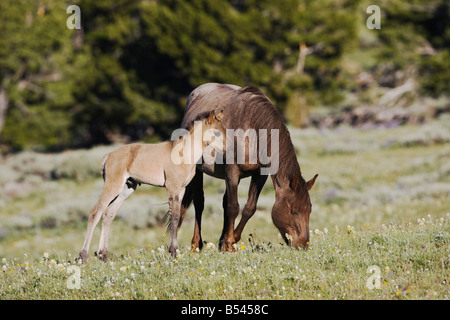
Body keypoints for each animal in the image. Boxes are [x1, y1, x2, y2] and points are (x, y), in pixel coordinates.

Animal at [79, 110, 225, 262]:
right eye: (217, 133)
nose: (228, 149)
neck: (183, 153)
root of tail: (108, 156)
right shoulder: (172, 188)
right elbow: (174, 217)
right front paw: (173, 251)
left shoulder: (181, 189)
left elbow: (178, 216)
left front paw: (174, 251)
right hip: (113, 186)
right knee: (95, 212)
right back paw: (83, 256)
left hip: (127, 188)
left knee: (108, 214)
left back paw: (104, 255)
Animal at [178, 83, 316, 252]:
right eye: (293, 211)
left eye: (309, 210)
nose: (303, 244)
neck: (252, 129)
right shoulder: (232, 172)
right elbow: (233, 207)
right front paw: (229, 243)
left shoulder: (260, 174)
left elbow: (249, 208)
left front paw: (230, 241)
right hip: (197, 170)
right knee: (199, 202)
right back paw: (195, 245)